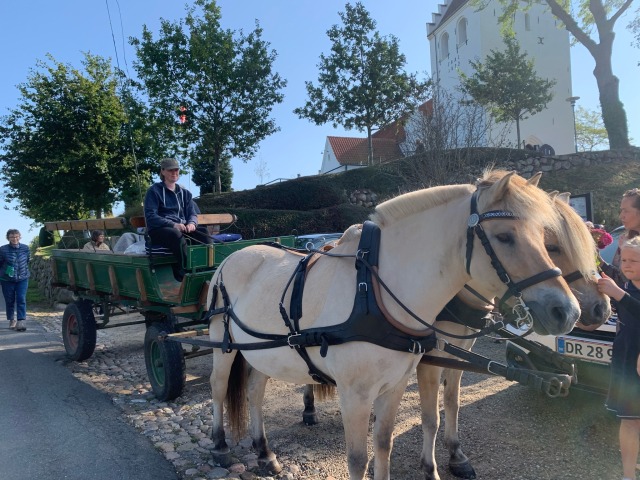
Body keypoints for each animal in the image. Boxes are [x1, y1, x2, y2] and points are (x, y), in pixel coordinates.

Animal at [205, 171, 580, 478]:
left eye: (543, 237)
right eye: (504, 237)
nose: (568, 311)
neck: (374, 291)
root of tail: (232, 257)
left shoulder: (396, 384)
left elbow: (384, 444)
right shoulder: (355, 394)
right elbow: (359, 459)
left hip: (261, 352)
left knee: (254, 392)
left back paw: (264, 453)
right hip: (223, 346)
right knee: (219, 388)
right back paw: (221, 447)